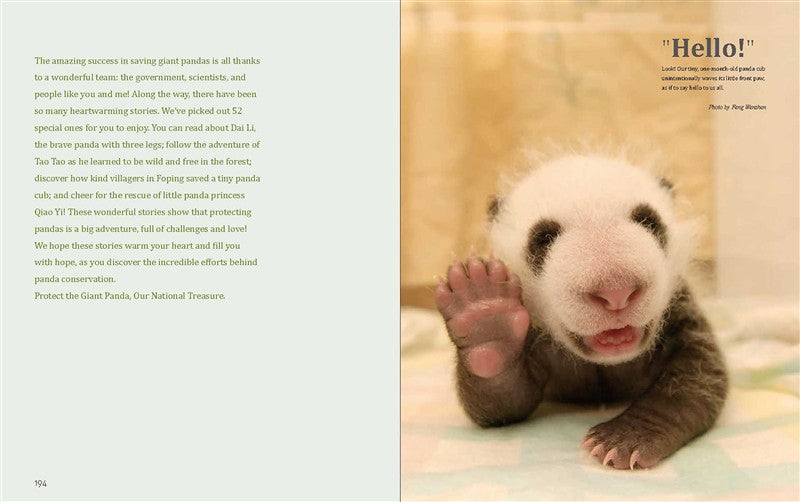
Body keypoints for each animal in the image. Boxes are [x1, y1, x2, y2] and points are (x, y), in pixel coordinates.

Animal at [434, 154, 727, 470]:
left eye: (648, 221)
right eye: (544, 237)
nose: (616, 291)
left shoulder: (679, 308)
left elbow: (696, 378)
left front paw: (625, 440)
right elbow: (504, 400)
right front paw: (486, 317)